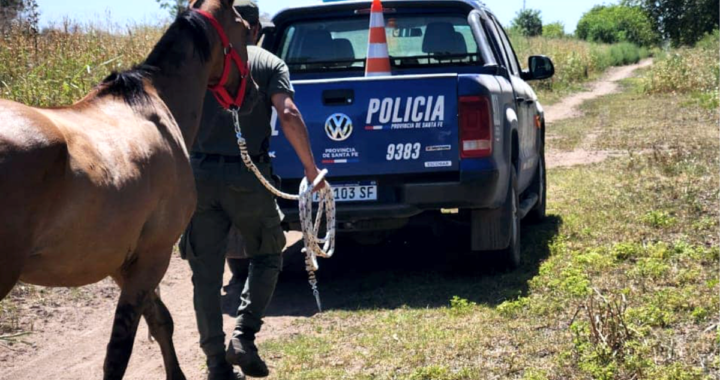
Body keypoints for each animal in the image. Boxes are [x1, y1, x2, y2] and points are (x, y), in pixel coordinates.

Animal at [0, 0, 258, 378]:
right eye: (242, 28)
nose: (252, 92)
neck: (153, 99)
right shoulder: (154, 255)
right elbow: (119, 352)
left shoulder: (125, 263)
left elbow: (160, 321)